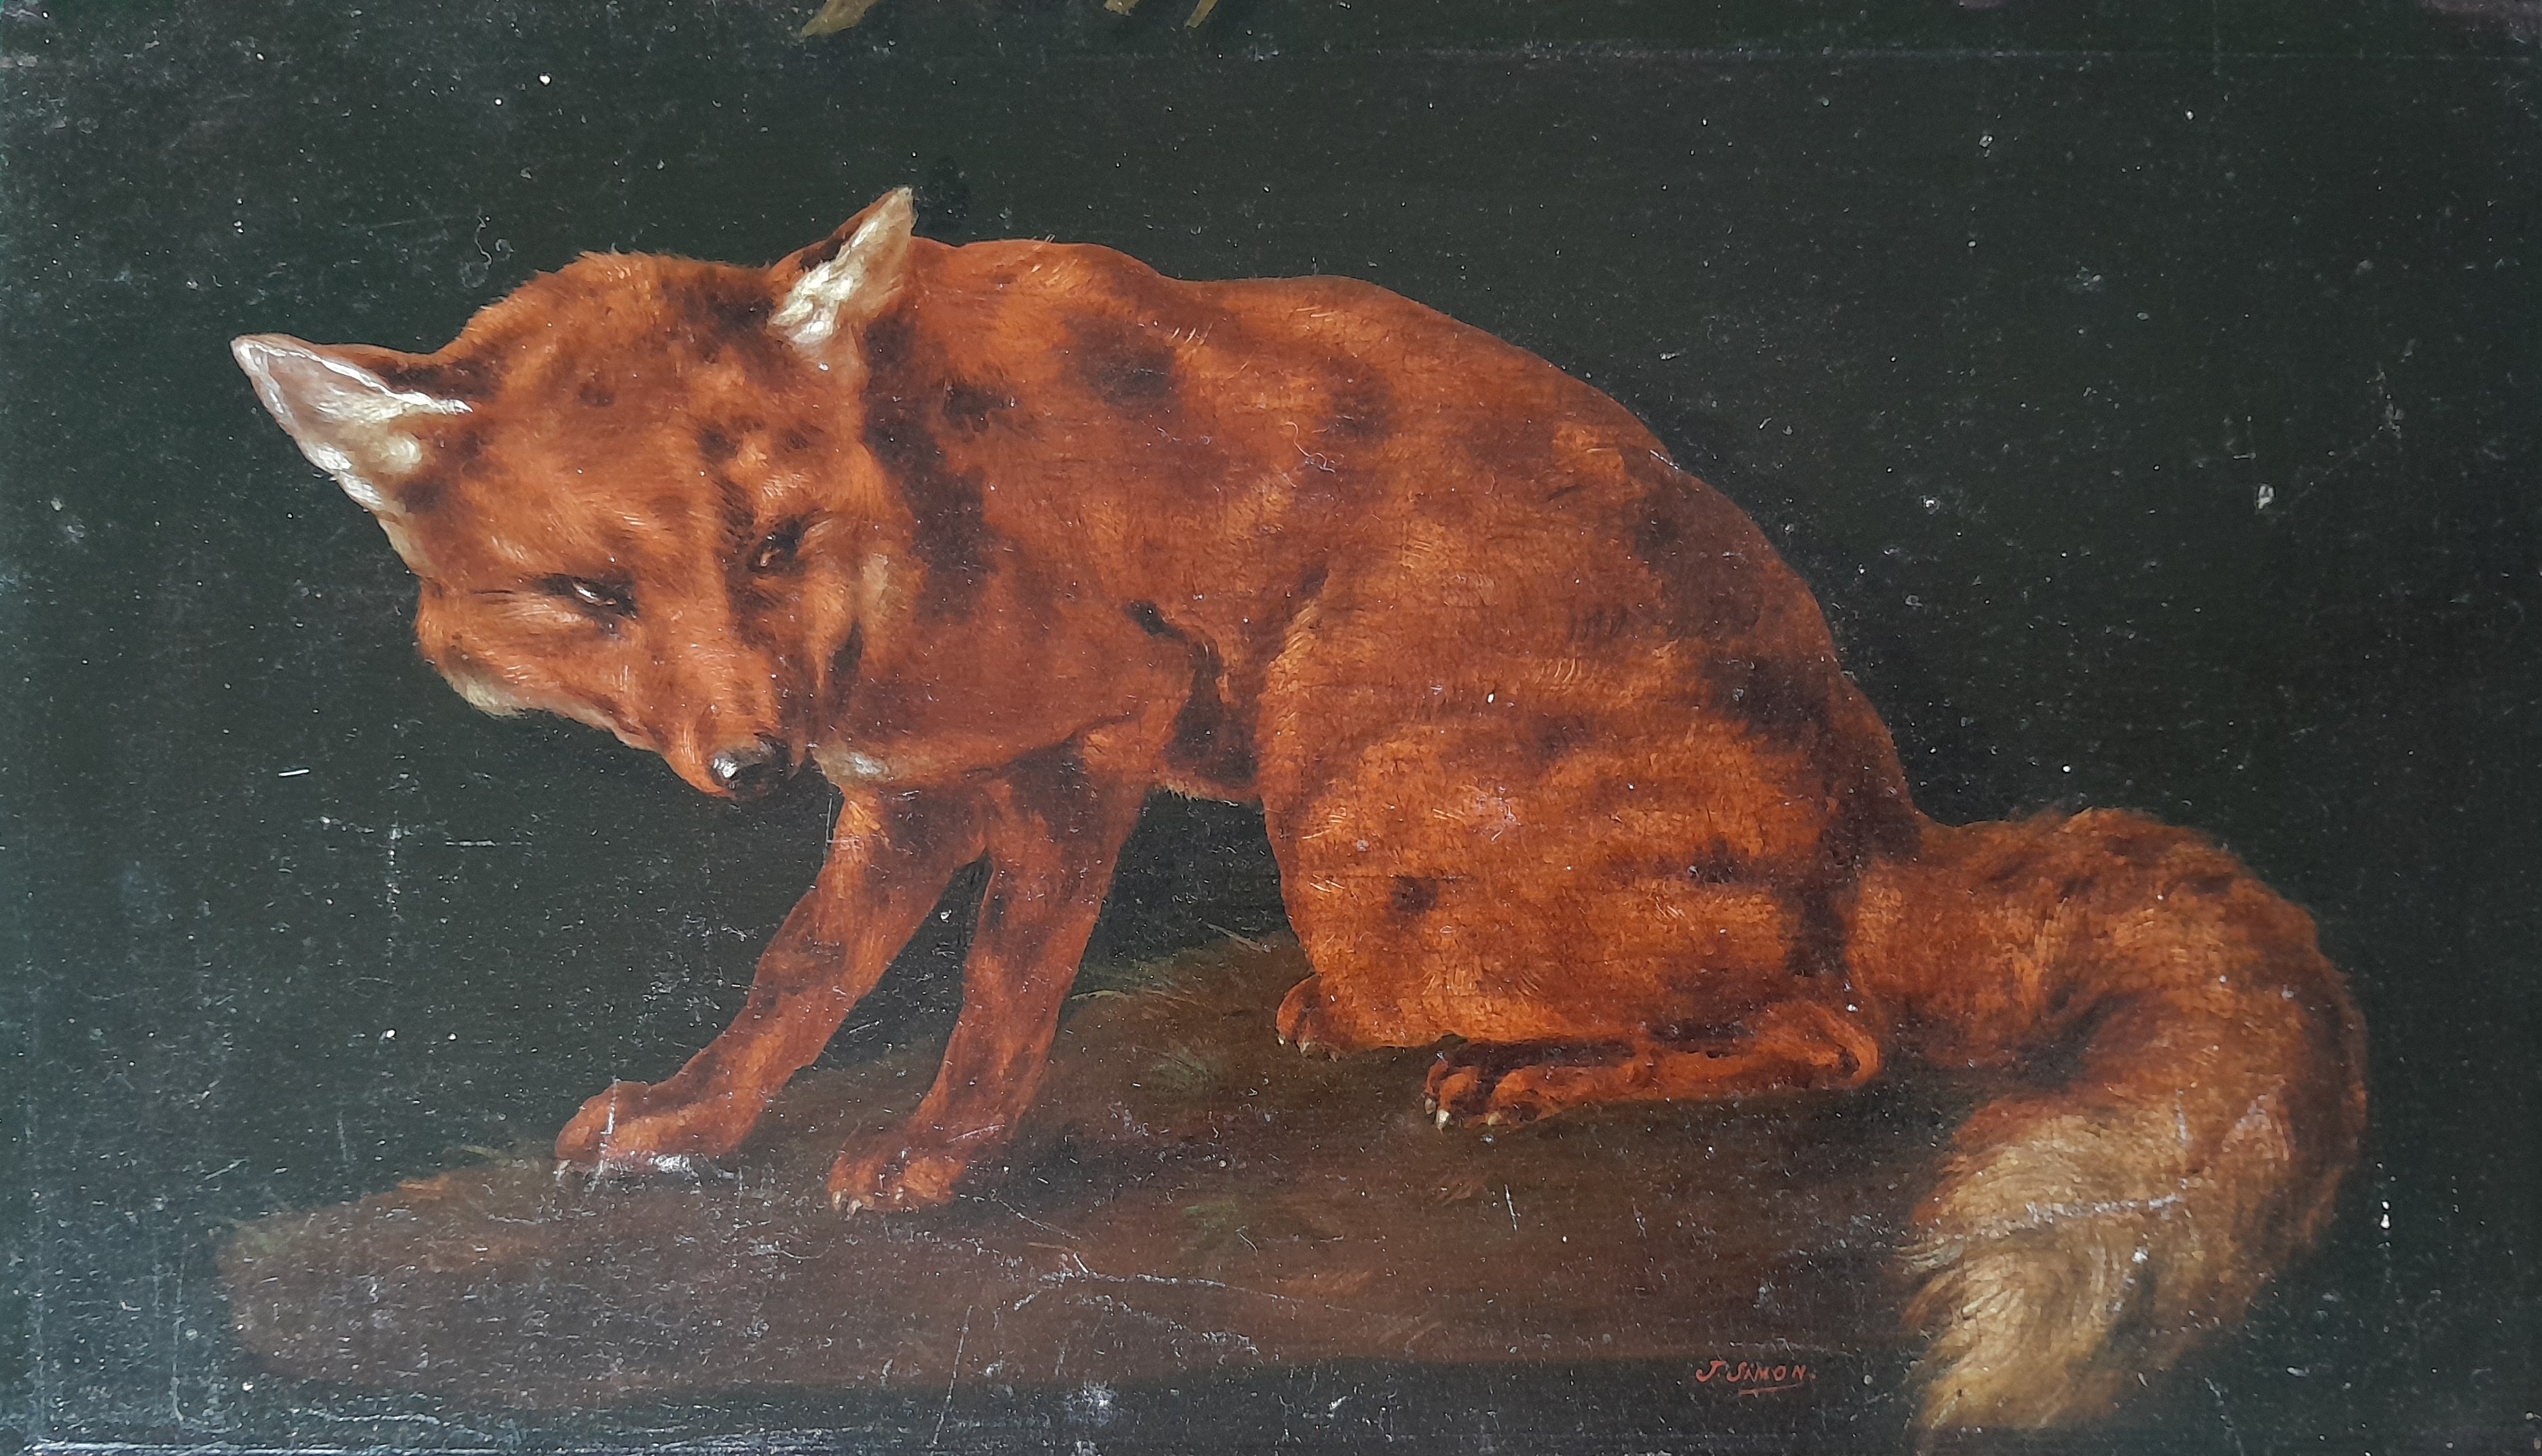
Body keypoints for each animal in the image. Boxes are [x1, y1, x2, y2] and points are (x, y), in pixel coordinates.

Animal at [232, 188, 2366, 1430]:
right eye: (591, 593)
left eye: (767, 545)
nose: (749, 756)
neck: (910, 508)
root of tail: (1882, 822)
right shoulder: (910, 787)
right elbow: (798, 977)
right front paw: (690, 1127)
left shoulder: (1085, 737)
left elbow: (995, 996)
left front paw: (936, 1161)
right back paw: (1365, 1030)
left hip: (1356, 825)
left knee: (1831, 1031)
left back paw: (1538, 1075)